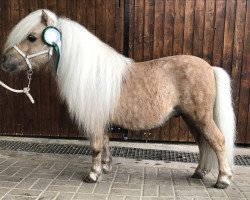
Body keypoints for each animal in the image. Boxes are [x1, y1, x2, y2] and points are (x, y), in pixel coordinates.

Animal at [0, 9, 235, 188]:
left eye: (32, 37)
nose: (4, 61)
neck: (90, 72)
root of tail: (210, 67)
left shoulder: (94, 119)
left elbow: (95, 146)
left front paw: (92, 175)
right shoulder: (102, 118)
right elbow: (104, 143)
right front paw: (105, 167)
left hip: (200, 117)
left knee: (218, 141)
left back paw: (223, 180)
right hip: (190, 118)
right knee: (203, 143)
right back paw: (199, 172)